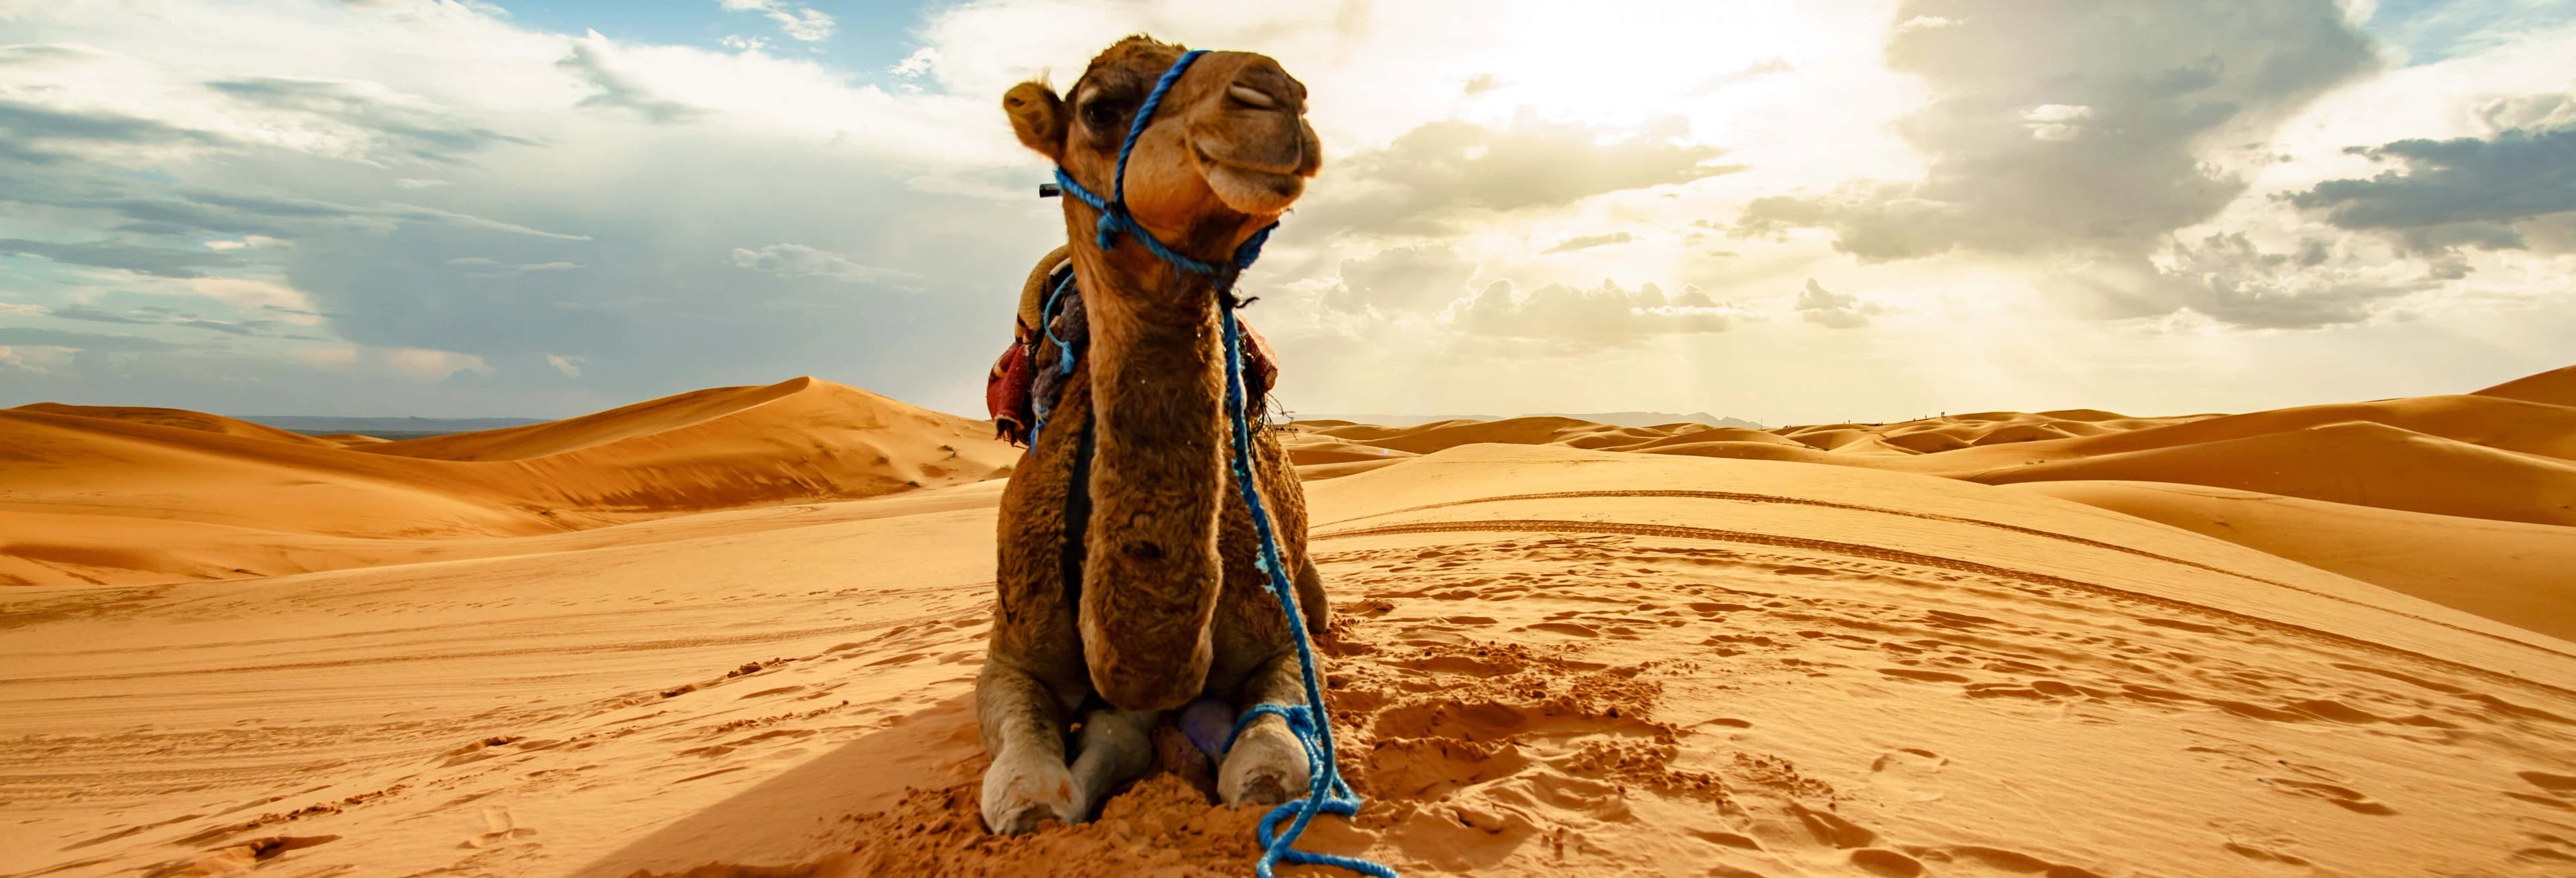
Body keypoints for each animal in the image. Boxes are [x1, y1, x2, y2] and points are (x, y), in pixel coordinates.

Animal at [975, 36, 1332, 835]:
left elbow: (1267, 769)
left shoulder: (1279, 641)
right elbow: (1028, 793)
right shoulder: (1009, 655)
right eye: (1101, 108)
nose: (1277, 95)